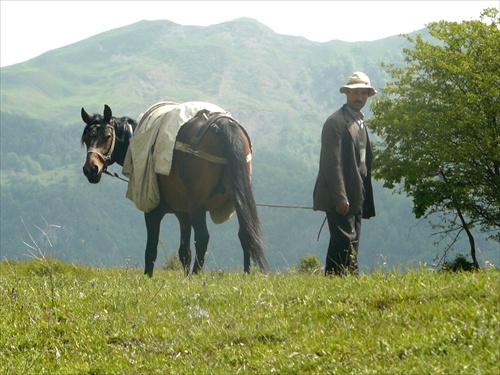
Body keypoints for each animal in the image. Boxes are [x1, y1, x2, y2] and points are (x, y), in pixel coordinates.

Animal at [81, 103, 270, 276]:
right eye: (86, 139)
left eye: (107, 136)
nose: (91, 169)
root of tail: (221, 123)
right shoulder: (183, 214)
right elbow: (184, 252)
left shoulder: (153, 211)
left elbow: (151, 250)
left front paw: (147, 278)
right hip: (237, 198)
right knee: (245, 232)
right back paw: (246, 274)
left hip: (197, 204)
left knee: (203, 237)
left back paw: (196, 276)